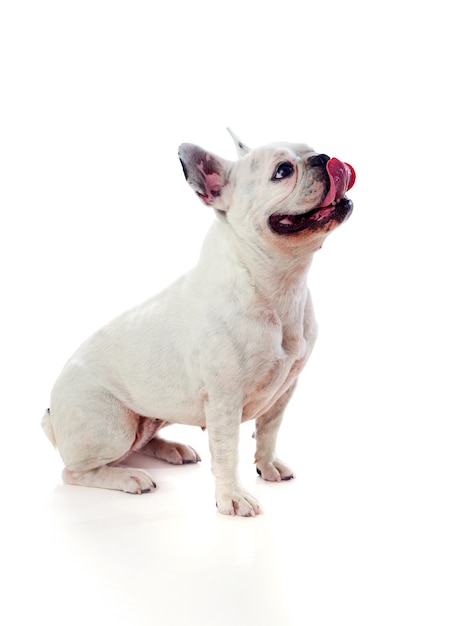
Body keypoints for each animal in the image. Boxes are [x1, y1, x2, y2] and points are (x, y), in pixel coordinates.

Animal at [43, 129, 356, 516]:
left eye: (312, 150)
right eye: (282, 171)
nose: (324, 158)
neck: (277, 284)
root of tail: (51, 412)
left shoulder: (284, 392)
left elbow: (269, 431)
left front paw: (267, 465)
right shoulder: (224, 398)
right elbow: (227, 451)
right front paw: (232, 497)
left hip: (149, 417)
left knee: (139, 442)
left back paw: (170, 448)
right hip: (112, 425)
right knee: (77, 470)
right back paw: (128, 477)